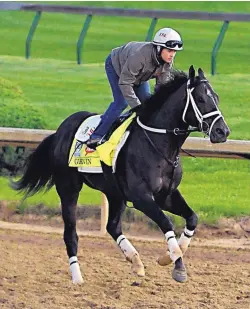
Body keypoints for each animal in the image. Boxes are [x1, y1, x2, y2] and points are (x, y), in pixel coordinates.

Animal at [11, 65, 230, 284]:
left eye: (217, 97)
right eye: (201, 99)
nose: (223, 132)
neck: (158, 144)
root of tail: (59, 132)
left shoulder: (166, 195)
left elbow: (192, 218)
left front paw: (172, 259)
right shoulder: (142, 198)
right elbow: (166, 223)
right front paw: (174, 262)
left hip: (114, 193)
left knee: (112, 226)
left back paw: (136, 262)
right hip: (68, 188)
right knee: (70, 233)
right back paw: (77, 277)